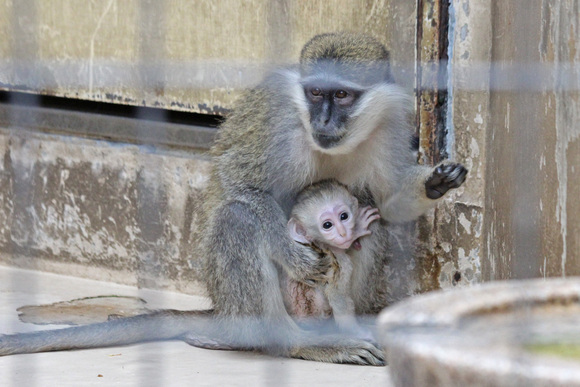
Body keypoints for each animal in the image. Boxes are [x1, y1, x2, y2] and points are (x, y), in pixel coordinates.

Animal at [286, 180, 380, 342]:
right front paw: (358, 332)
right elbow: (338, 298)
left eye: (344, 216)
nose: (343, 232)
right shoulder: (339, 262)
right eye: (327, 225)